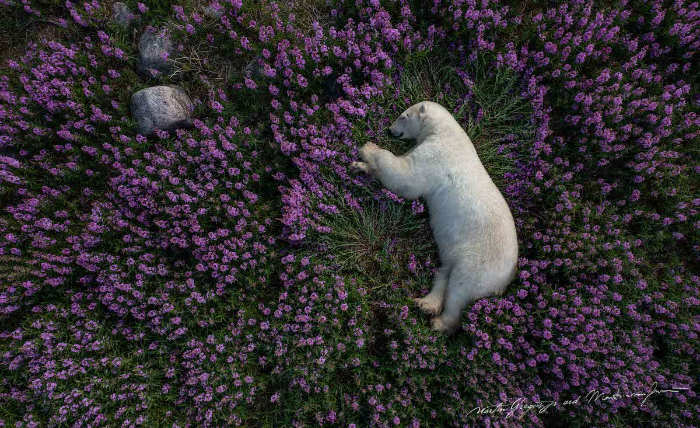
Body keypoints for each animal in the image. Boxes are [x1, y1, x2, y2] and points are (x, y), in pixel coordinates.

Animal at [350, 101, 520, 334]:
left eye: (403, 116)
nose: (390, 130)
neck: (445, 132)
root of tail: (507, 278)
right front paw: (359, 165)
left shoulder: (436, 156)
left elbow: (405, 175)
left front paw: (368, 148)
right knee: (444, 273)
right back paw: (425, 303)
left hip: (479, 262)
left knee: (459, 288)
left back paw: (439, 322)